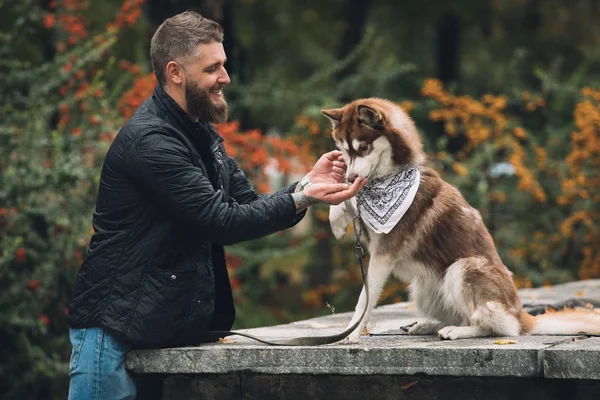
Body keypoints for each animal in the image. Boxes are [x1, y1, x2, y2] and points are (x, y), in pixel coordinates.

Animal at [324, 97, 600, 344]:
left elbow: (365, 299)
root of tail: (523, 317)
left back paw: (458, 331)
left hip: (462, 268)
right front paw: (337, 217)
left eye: (363, 148)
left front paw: (350, 333)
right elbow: (346, 198)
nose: (350, 177)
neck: (388, 180)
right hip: (423, 287)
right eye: (344, 150)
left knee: (497, 326)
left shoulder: (384, 254)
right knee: (462, 316)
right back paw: (430, 325)